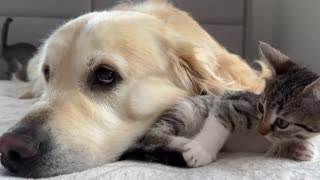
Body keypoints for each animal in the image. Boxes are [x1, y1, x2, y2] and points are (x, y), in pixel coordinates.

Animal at [122, 42, 320, 167]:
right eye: (261, 108)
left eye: (282, 123)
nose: (261, 131)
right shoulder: (231, 101)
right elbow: (218, 122)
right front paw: (201, 151)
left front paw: (304, 149)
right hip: (186, 109)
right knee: (152, 135)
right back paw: (186, 142)